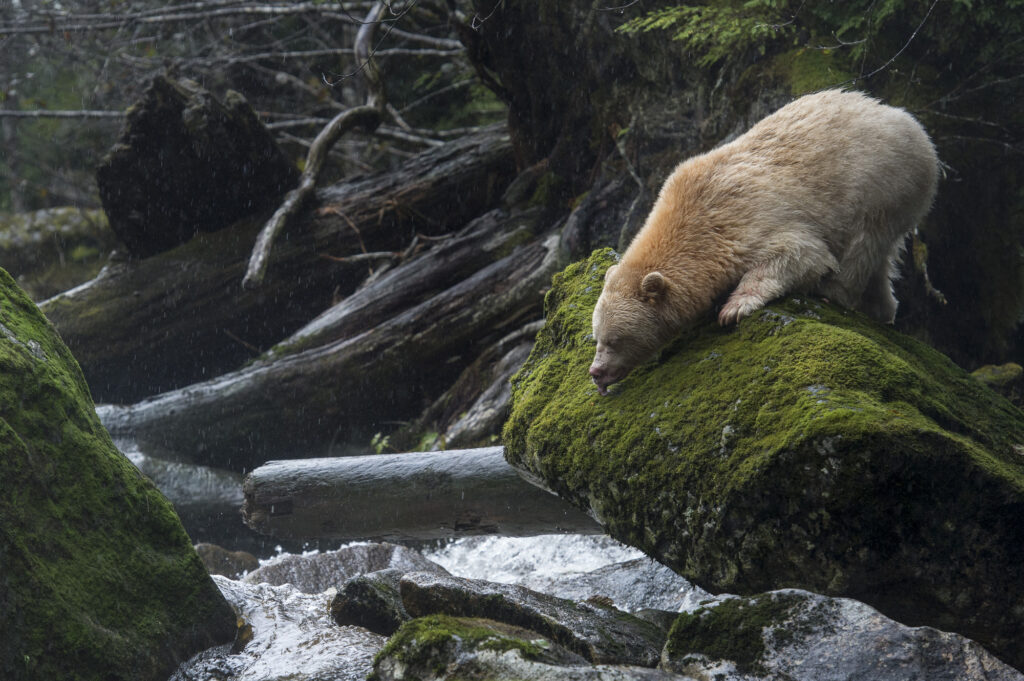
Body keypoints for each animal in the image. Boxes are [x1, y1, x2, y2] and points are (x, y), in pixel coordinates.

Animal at [589, 89, 939, 395]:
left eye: (614, 339)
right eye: (596, 336)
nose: (596, 372)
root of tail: (908, 120)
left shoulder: (744, 223)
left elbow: (800, 253)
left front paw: (733, 307)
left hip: (882, 182)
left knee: (863, 246)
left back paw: (834, 293)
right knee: (882, 260)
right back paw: (882, 308)